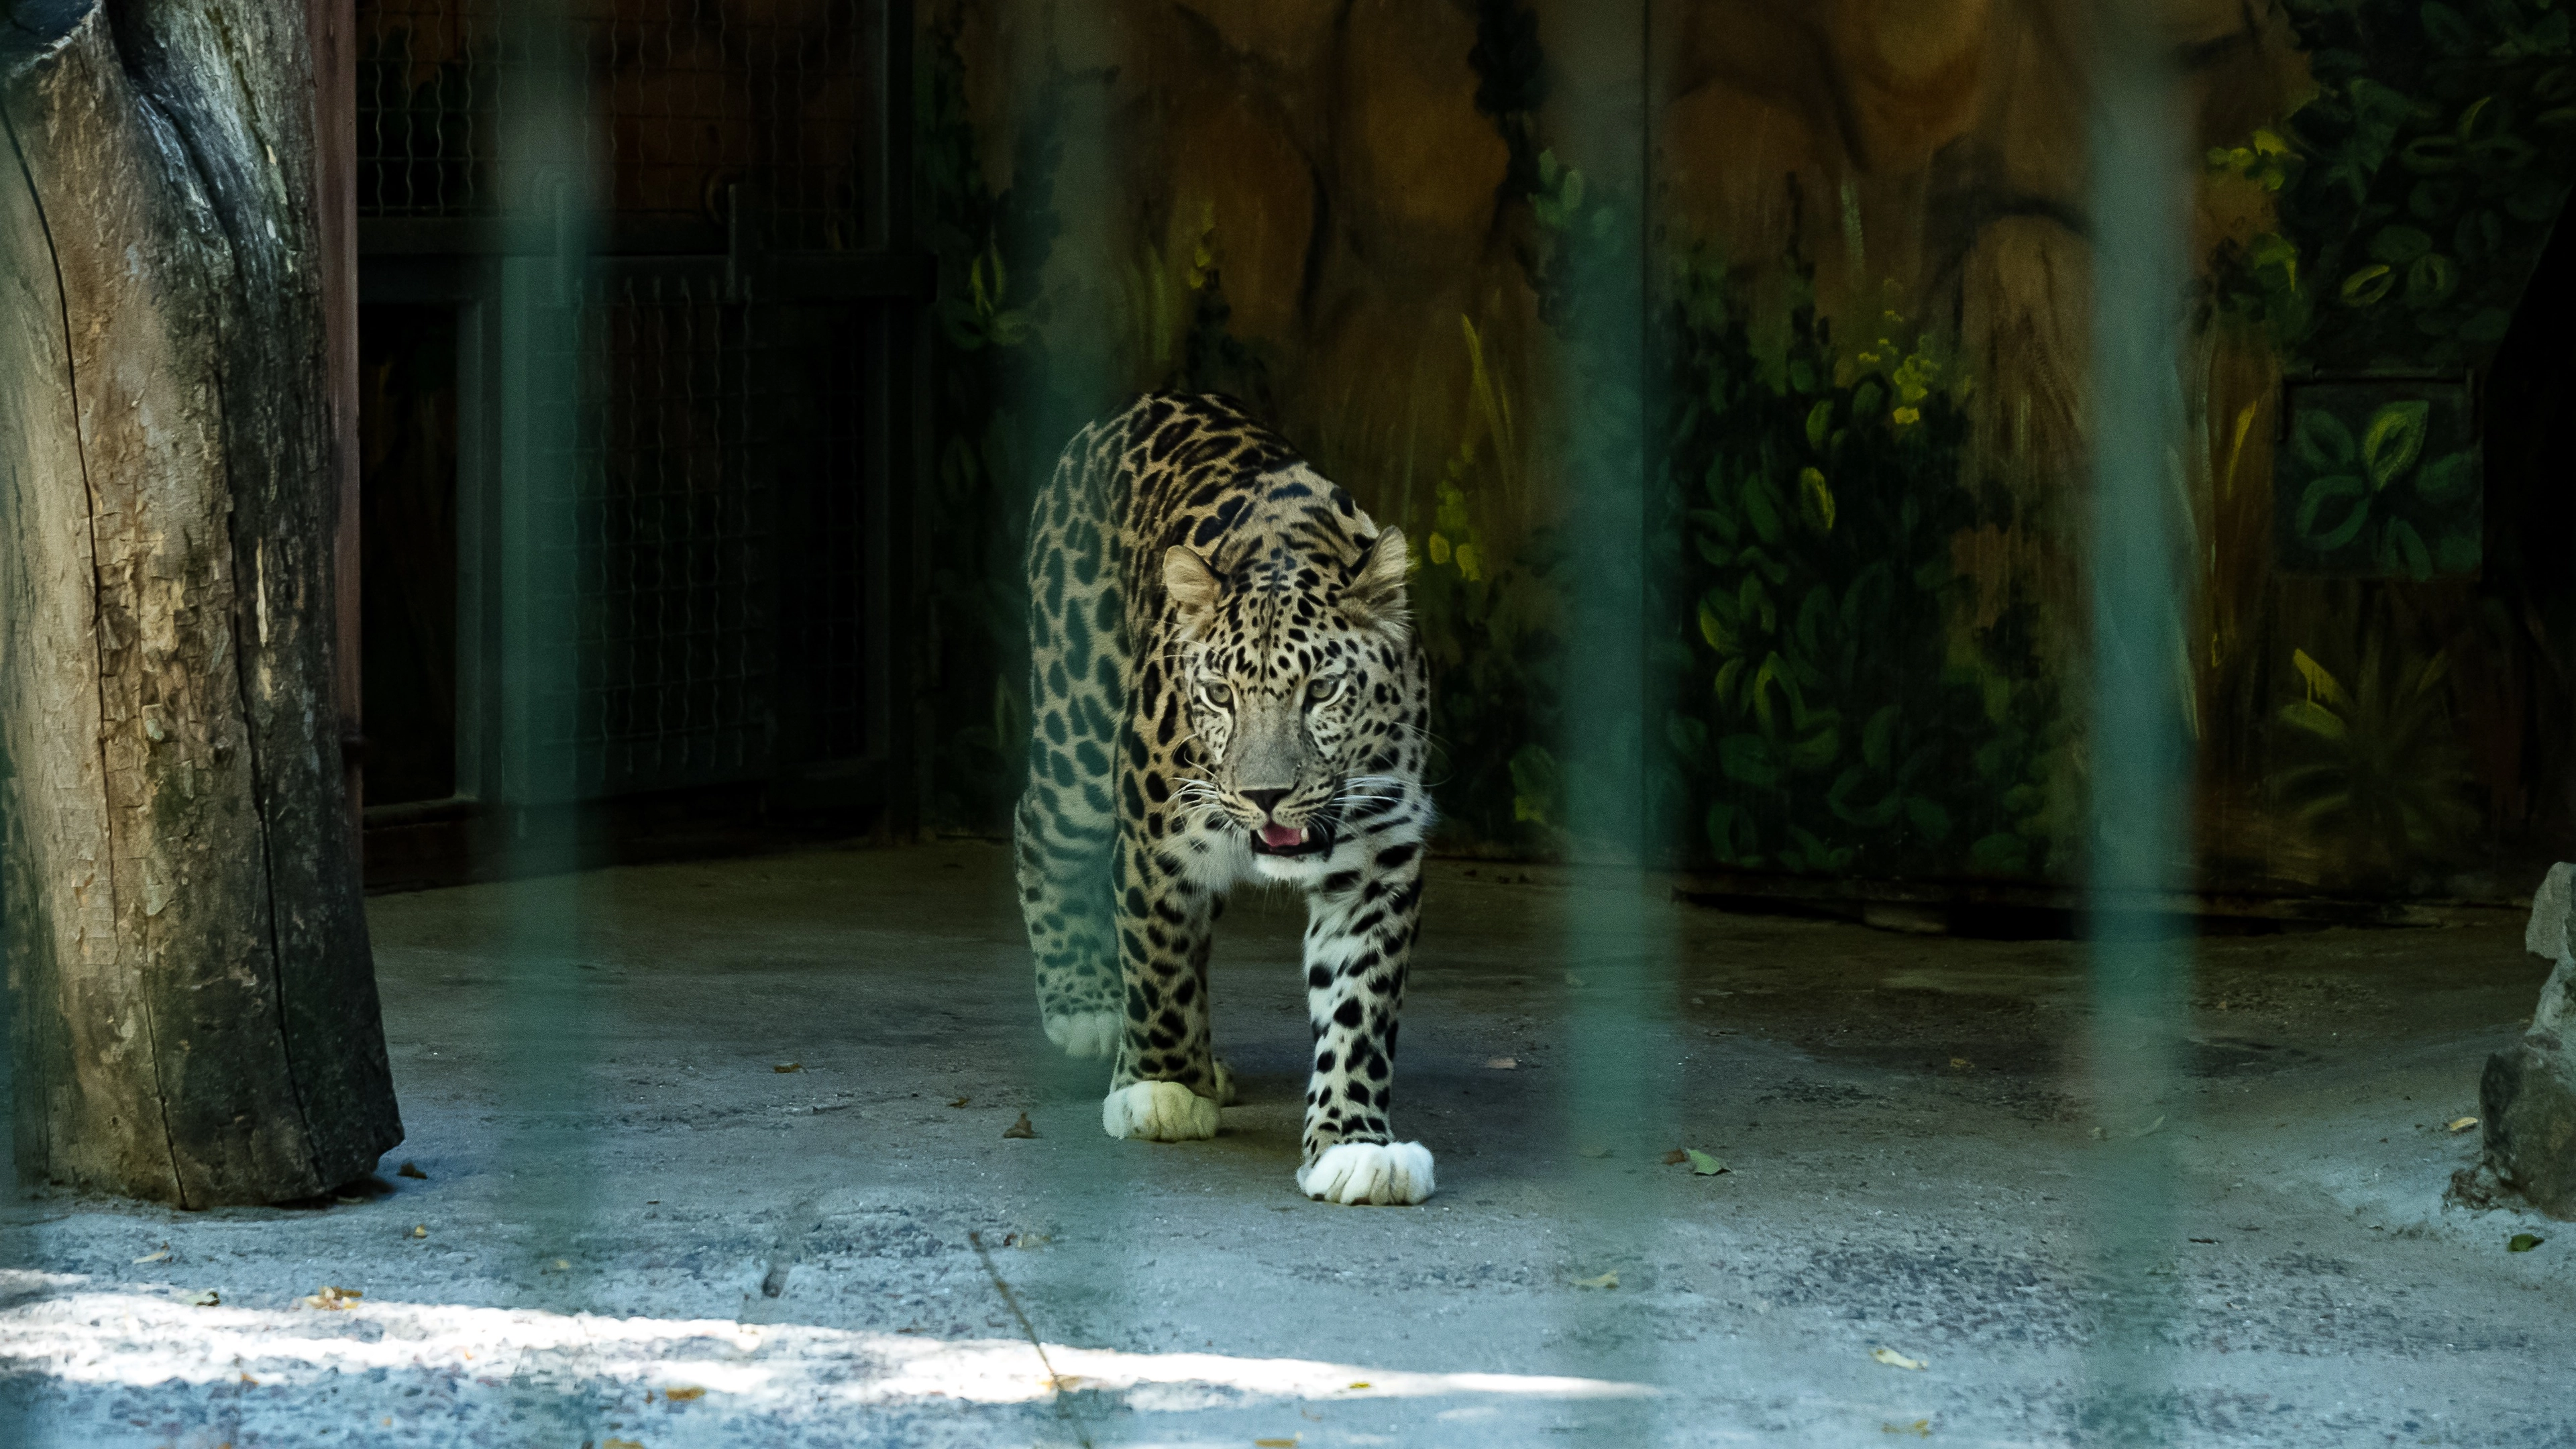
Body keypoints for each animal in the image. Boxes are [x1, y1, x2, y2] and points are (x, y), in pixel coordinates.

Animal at [1012, 391, 1437, 1206]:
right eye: (1218, 694)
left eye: (1322, 691)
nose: (1265, 795)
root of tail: (1126, 411)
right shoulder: (1156, 842)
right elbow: (1159, 962)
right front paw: (1161, 1088)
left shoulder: (1379, 859)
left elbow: (1358, 1005)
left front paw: (1354, 1142)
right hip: (1075, 732)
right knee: (1036, 825)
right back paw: (1087, 1009)